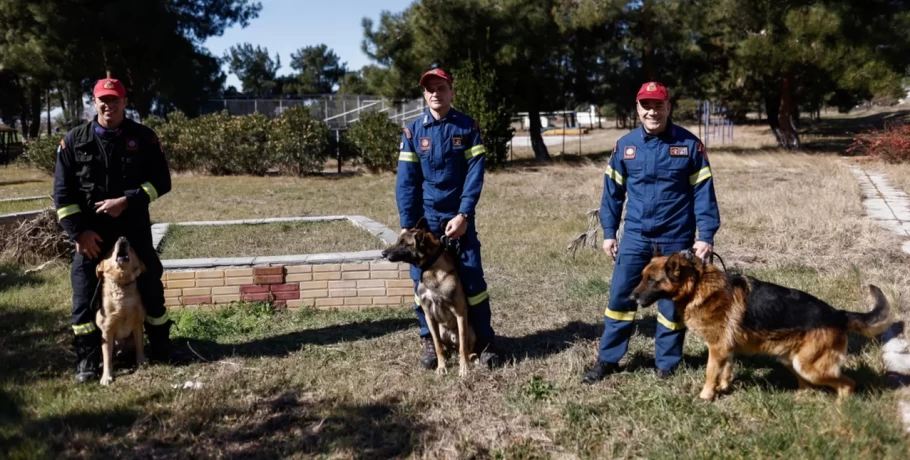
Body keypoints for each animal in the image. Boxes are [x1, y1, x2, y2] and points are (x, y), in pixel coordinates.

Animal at [95, 237, 147, 384]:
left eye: (132, 249)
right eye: (112, 248)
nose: (123, 238)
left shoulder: (137, 325)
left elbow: (140, 347)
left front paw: (141, 363)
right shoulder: (107, 331)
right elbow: (107, 359)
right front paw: (106, 377)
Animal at [382, 217, 478, 376]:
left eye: (404, 244)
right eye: (398, 241)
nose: (383, 253)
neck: (431, 267)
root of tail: (452, 337)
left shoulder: (460, 313)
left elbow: (463, 347)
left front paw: (464, 368)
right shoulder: (429, 315)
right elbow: (437, 345)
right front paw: (441, 366)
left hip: (470, 330)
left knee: (466, 348)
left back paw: (472, 358)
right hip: (440, 330)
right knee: (446, 347)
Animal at [632, 248, 896, 398]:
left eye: (651, 280)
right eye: (642, 277)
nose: (631, 297)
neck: (697, 285)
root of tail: (838, 314)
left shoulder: (716, 348)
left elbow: (710, 373)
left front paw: (706, 396)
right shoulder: (726, 350)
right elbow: (726, 370)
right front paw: (724, 387)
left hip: (809, 366)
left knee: (847, 385)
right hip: (793, 361)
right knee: (810, 387)